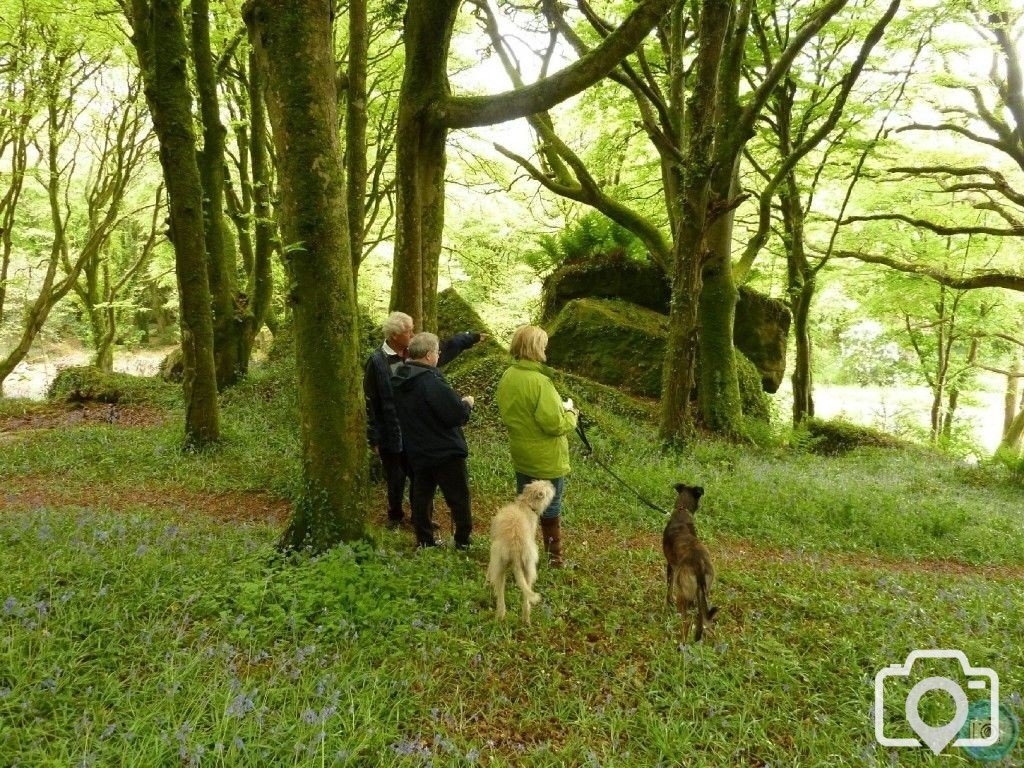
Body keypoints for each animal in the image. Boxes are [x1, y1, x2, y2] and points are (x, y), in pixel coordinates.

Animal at [485, 481, 557, 626]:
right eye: (546, 488)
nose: (551, 484)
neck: (525, 504)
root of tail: (515, 547)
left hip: (500, 564)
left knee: (501, 595)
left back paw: (500, 616)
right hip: (528, 567)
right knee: (525, 598)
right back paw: (525, 619)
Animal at [659, 487, 716, 643]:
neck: (682, 511)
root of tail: (699, 565)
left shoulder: (670, 566)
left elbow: (668, 588)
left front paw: (668, 603)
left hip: (682, 594)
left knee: (686, 621)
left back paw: (680, 642)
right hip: (703, 593)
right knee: (703, 620)